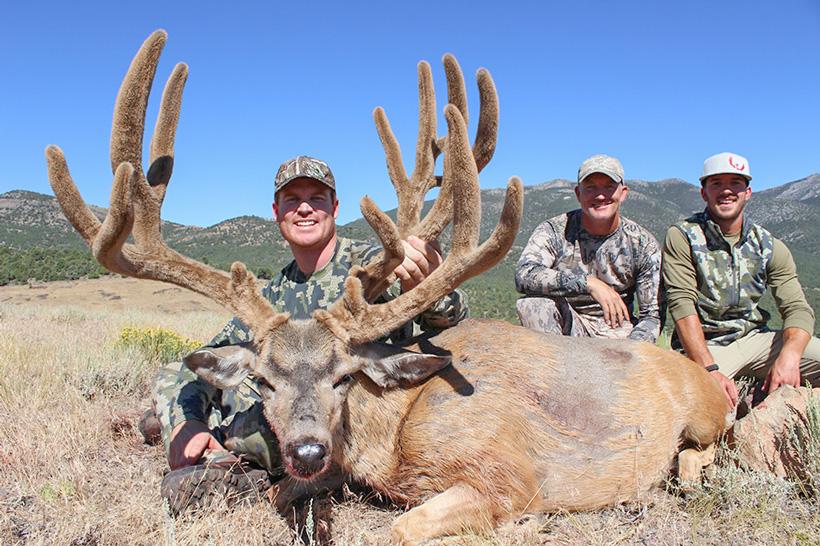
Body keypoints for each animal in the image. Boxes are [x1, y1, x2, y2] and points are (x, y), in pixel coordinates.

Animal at [46, 30, 730, 545]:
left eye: (344, 375)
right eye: (262, 381)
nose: (309, 450)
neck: (398, 430)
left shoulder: (508, 474)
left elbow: (400, 529)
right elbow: (283, 493)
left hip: (705, 412)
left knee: (708, 447)